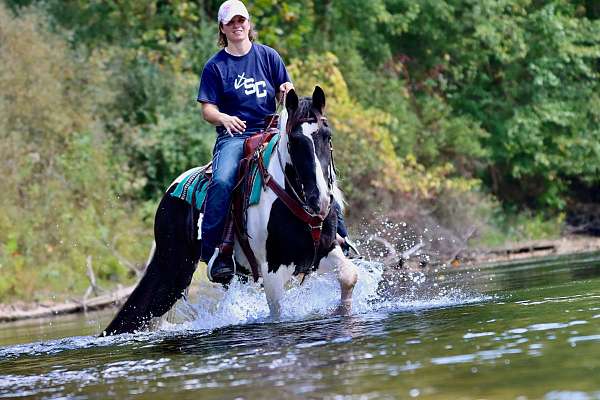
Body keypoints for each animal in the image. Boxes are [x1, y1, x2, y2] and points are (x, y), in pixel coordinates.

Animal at [103, 86, 356, 334]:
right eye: (294, 142)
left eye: (327, 135)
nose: (319, 200)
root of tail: (170, 193)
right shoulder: (272, 269)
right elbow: (279, 314)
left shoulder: (322, 250)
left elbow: (349, 276)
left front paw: (340, 313)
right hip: (173, 270)